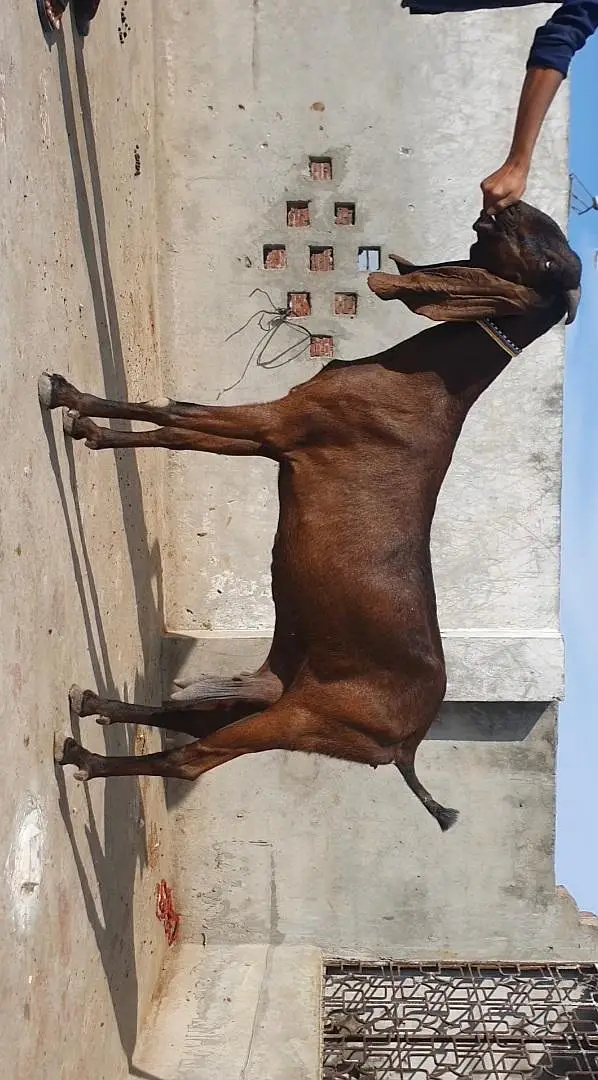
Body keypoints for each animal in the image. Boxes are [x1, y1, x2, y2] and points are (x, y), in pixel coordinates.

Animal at [41, 201, 581, 830]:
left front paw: (75, 403)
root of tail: (407, 747)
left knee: (189, 761)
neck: (428, 385)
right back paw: (96, 702)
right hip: (268, 694)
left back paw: (85, 757)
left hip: (302, 717)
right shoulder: (274, 439)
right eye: (545, 242)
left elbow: (175, 418)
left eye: (549, 260)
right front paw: (93, 427)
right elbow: (177, 422)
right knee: (183, 720)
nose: (509, 205)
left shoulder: (280, 424)